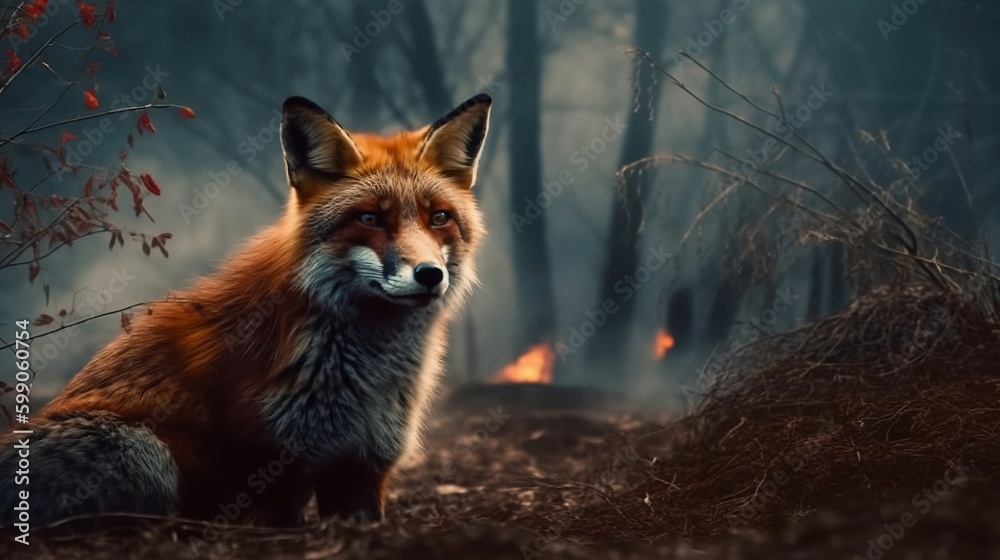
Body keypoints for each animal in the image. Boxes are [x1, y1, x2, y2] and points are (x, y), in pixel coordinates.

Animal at [0, 93, 492, 528]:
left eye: (439, 218)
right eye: (370, 218)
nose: (429, 275)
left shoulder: (361, 465)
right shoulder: (267, 463)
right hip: (142, 452)